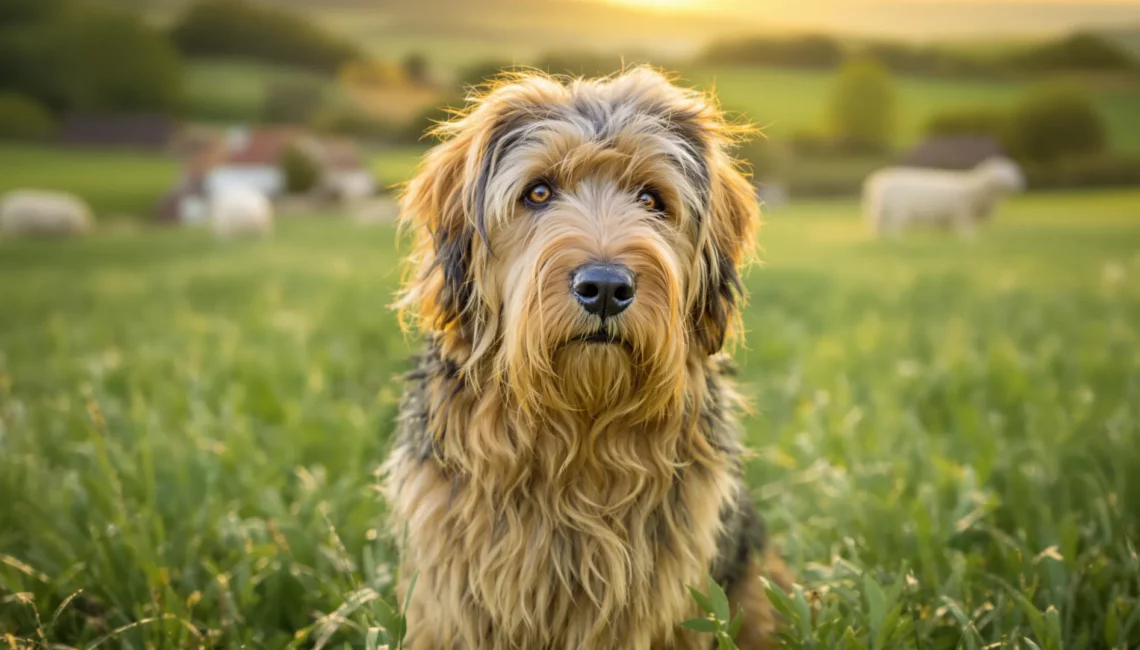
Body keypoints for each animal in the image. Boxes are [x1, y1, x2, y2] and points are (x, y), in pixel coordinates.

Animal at [861, 156, 1026, 234]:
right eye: (1001, 172)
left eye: (1014, 170)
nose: (1020, 184)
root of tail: (876, 180)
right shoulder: (962, 217)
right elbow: (968, 237)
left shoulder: (949, 220)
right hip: (897, 212)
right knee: (893, 232)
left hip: (881, 213)